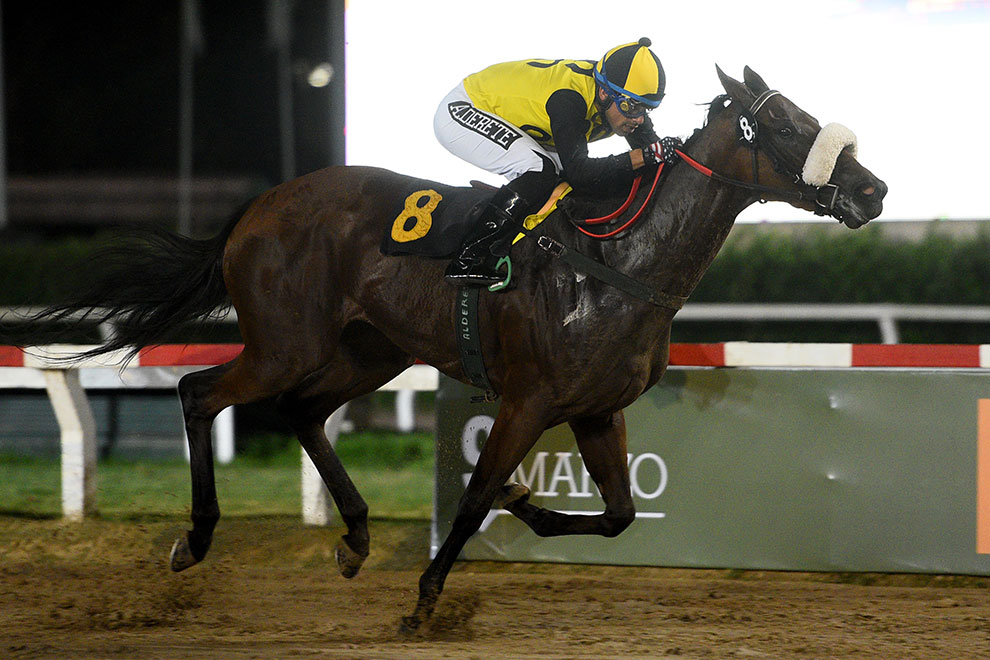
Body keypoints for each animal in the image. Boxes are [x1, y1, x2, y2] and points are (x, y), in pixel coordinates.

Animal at [4, 66, 885, 631]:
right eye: (785, 125)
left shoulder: (596, 410)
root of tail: (259, 206)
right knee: (200, 393)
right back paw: (195, 540)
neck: (618, 263)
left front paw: (527, 505)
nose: (872, 189)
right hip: (288, 341)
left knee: (302, 411)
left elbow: (618, 516)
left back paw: (356, 537)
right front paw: (427, 598)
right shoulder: (529, 400)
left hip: (370, 351)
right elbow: (471, 497)